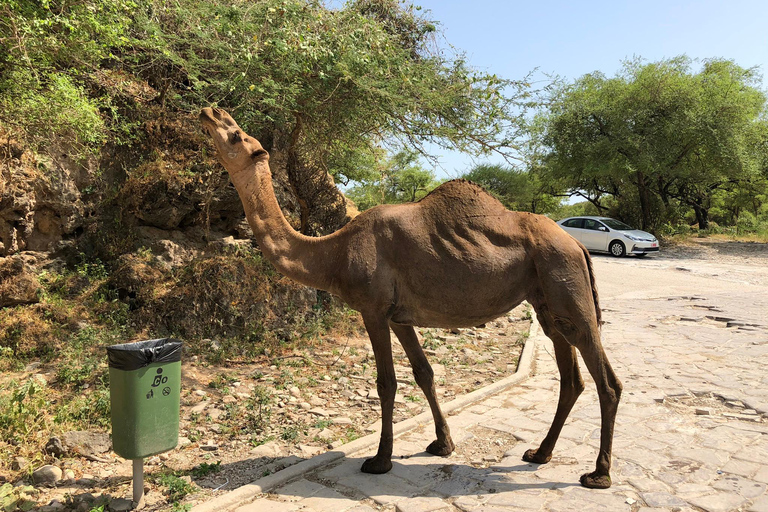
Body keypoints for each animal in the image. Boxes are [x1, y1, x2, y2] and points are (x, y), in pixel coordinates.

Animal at [200, 107, 624, 488]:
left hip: (566, 283)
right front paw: (442, 444)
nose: (209, 111)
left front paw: (379, 460)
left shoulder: (372, 309)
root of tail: (577, 244)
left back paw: (598, 474)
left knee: (606, 380)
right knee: (571, 378)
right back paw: (540, 453)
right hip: (548, 303)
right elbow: (424, 372)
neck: (335, 252)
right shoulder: (398, 316)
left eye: (236, 135)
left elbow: (386, 382)